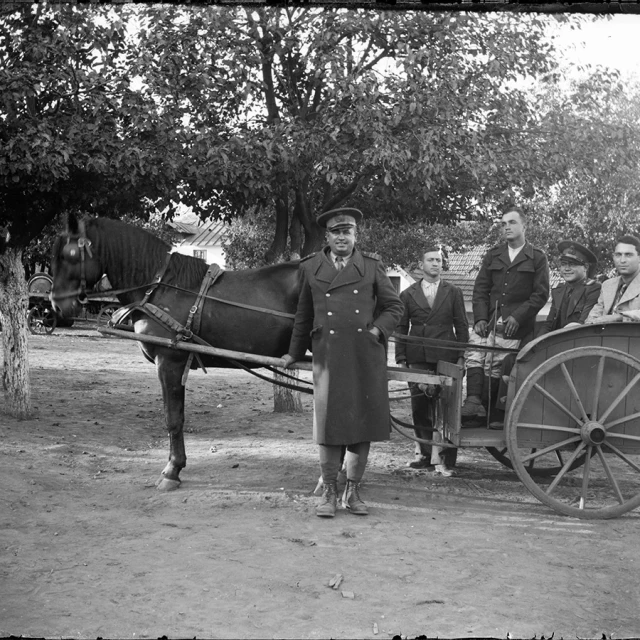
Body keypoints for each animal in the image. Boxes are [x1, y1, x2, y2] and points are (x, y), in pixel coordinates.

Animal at [51, 214, 302, 490]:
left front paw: (173, 469)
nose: (56, 304)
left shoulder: (169, 362)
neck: (162, 288)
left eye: (68, 254)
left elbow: (173, 418)